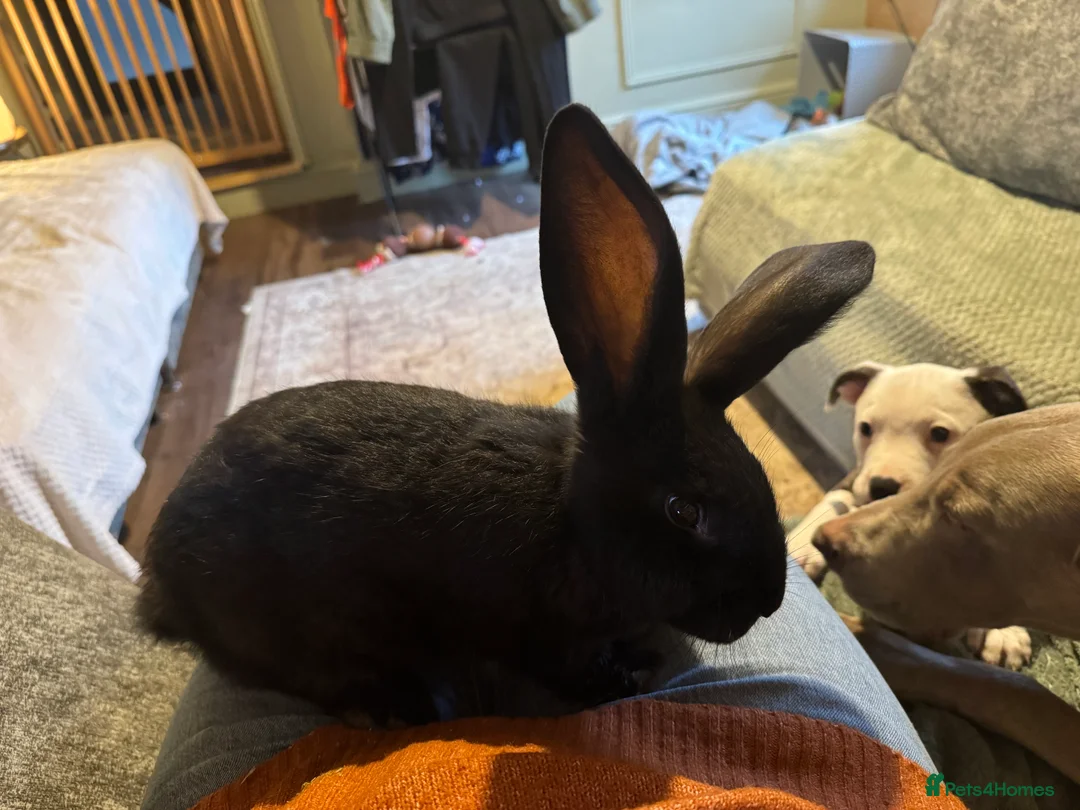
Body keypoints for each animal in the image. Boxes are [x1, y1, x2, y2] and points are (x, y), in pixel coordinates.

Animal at [137, 103, 875, 726]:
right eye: (684, 511)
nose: (771, 599)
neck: (571, 524)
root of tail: (161, 584)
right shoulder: (538, 637)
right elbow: (565, 673)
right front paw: (621, 679)